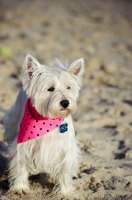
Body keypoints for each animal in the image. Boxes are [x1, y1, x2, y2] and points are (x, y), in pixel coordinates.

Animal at [3, 54, 84, 196]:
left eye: (68, 87)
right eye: (50, 88)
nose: (65, 103)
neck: (47, 120)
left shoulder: (65, 148)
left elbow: (65, 170)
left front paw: (66, 192)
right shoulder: (23, 146)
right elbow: (20, 165)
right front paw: (20, 188)